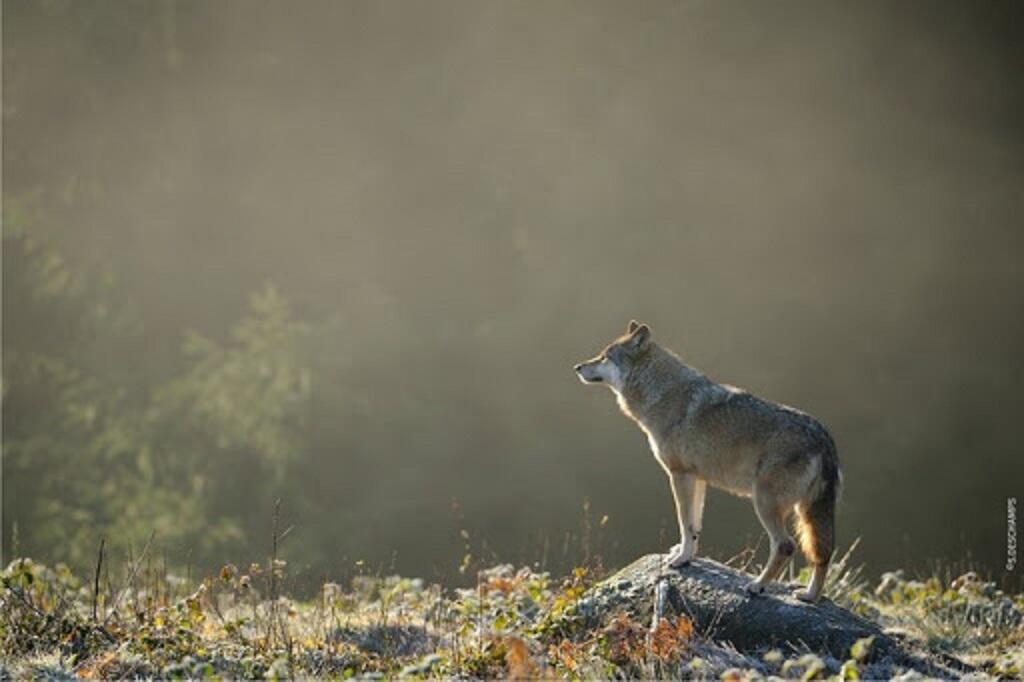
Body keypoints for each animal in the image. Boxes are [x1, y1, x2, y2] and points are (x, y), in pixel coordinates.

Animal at [577, 319, 839, 602]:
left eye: (605, 357)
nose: (577, 367)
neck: (661, 393)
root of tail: (823, 437)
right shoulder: (698, 478)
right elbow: (694, 526)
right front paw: (686, 555)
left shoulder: (679, 474)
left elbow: (684, 522)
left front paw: (680, 560)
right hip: (806, 513)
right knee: (824, 554)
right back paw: (809, 596)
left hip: (765, 503)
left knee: (786, 546)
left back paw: (757, 586)